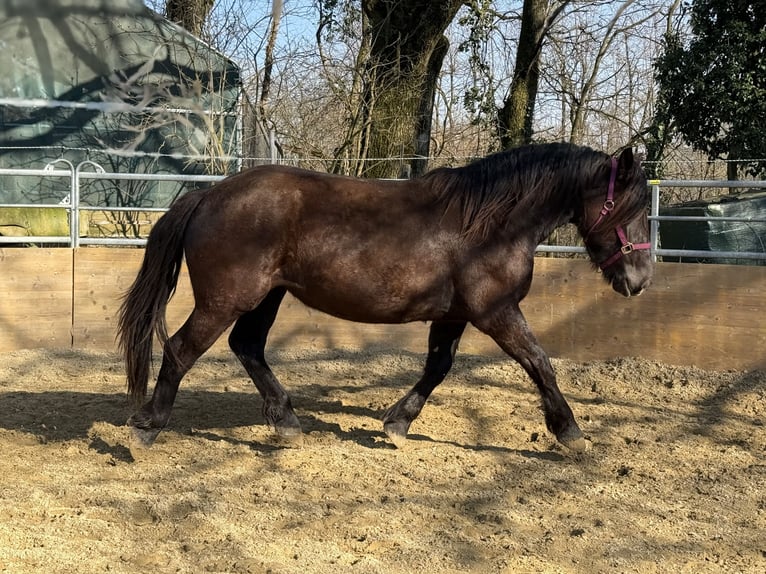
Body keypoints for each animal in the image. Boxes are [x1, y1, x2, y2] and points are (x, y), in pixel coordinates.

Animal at [118, 143, 656, 454]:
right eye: (629, 207)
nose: (640, 279)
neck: (491, 226)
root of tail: (207, 196)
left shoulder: (456, 315)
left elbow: (437, 367)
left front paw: (397, 422)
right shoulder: (496, 312)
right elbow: (540, 362)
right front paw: (570, 432)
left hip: (266, 297)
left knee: (247, 347)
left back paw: (287, 422)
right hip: (225, 300)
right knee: (181, 349)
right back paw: (147, 428)